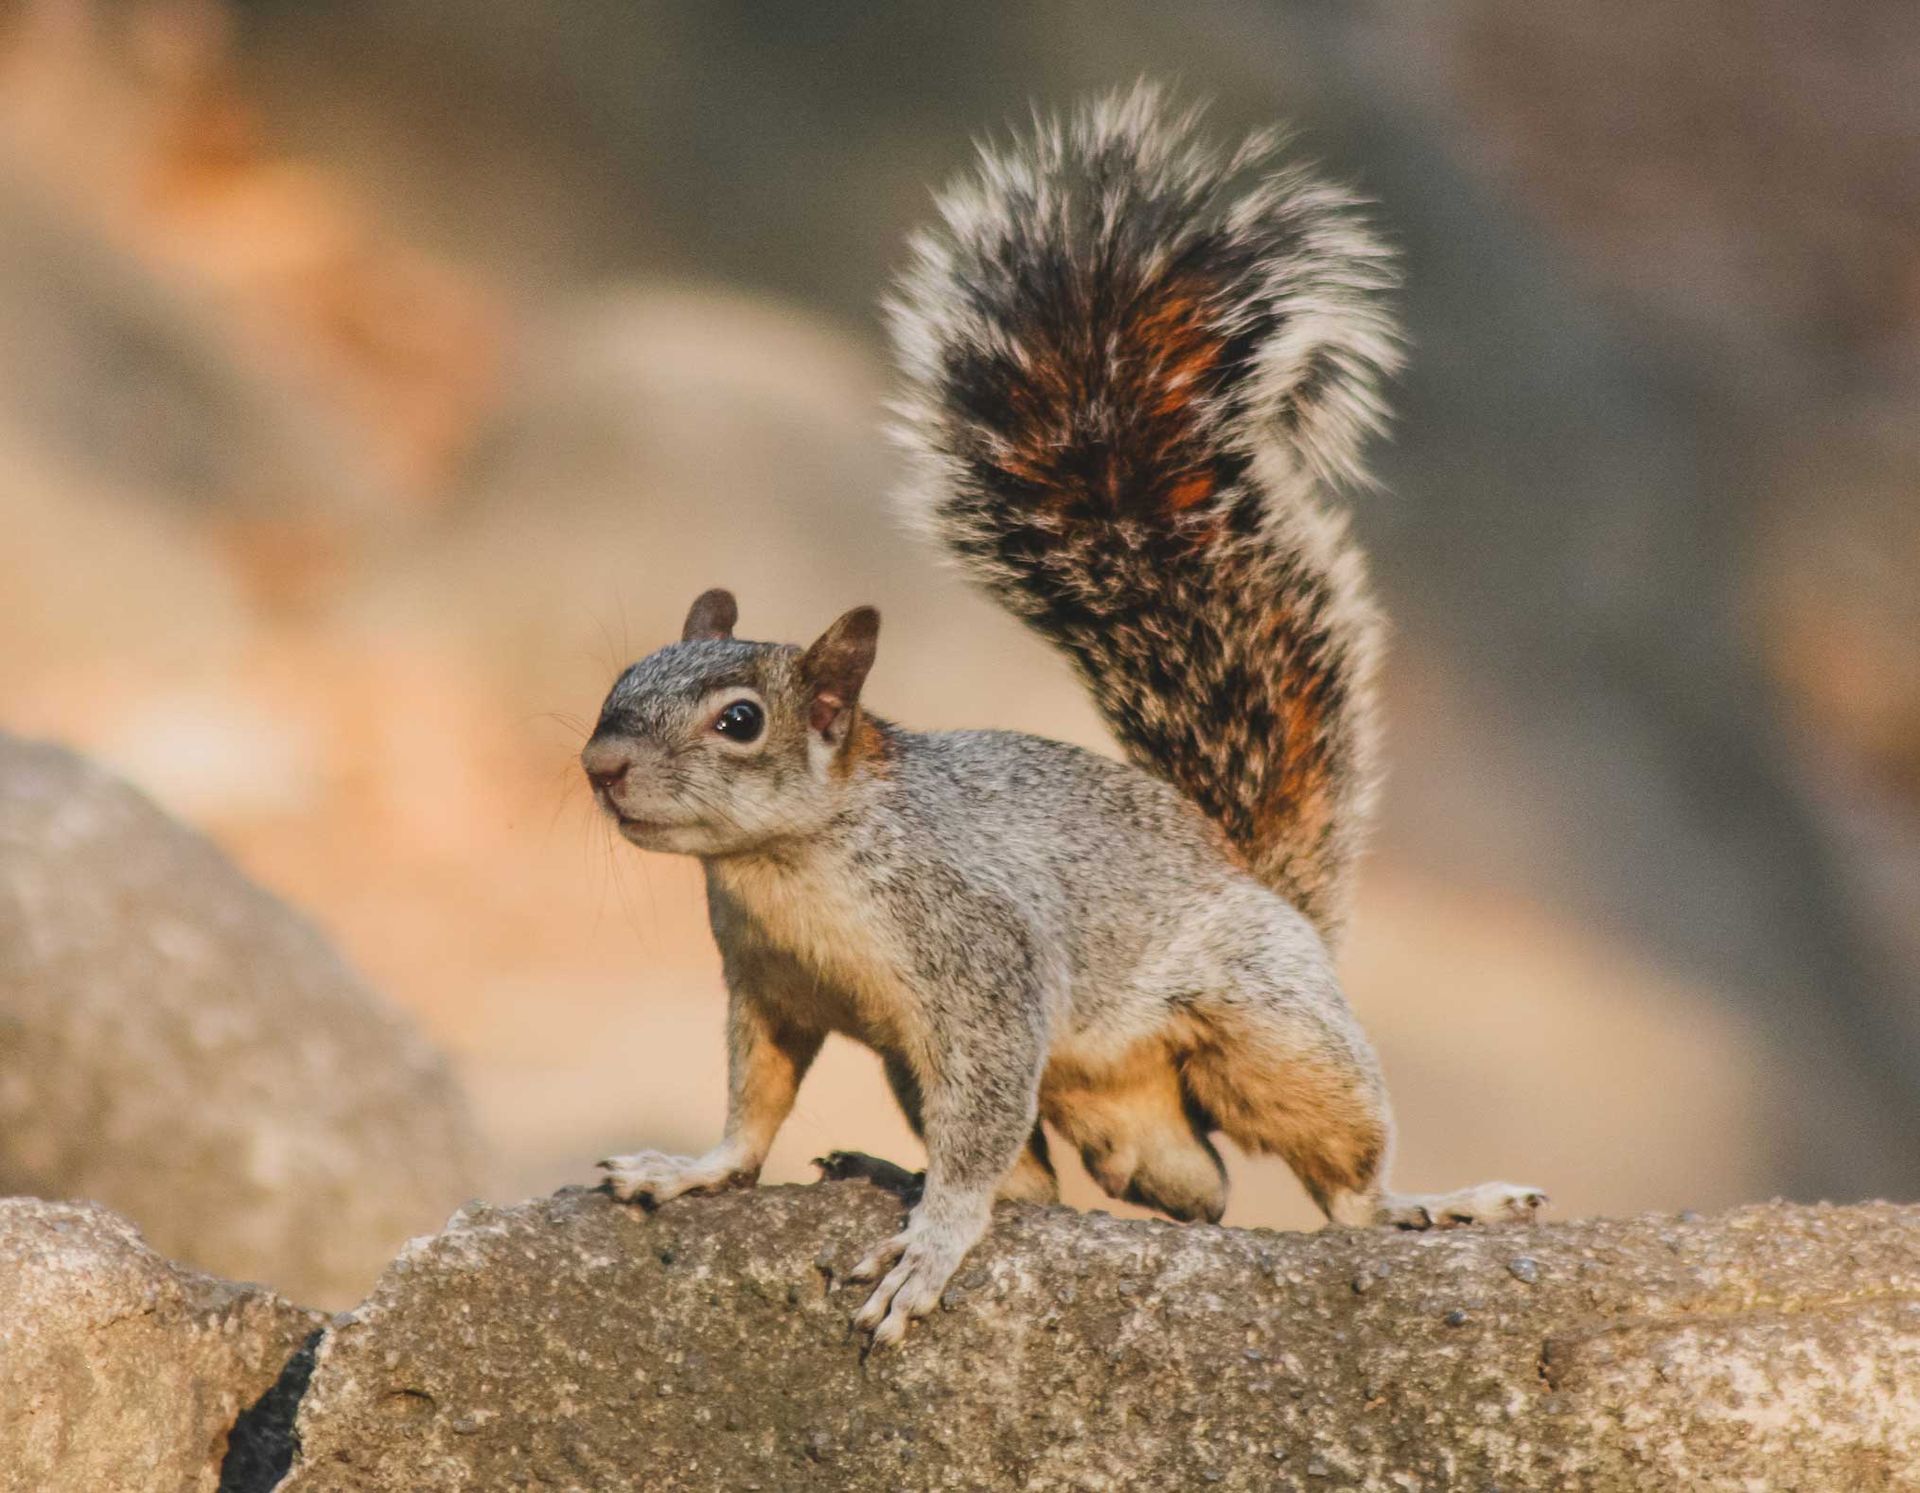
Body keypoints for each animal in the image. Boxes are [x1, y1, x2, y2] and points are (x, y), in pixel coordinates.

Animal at [581, 88, 1544, 1349]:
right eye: (623, 677)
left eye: (739, 719)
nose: (599, 764)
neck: (790, 865)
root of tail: (1259, 880)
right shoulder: (770, 988)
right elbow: (756, 1101)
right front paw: (693, 1168)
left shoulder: (983, 965)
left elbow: (977, 1131)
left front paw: (929, 1248)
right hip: (1012, 1089)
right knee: (1136, 1187)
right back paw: (894, 1165)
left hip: (1267, 1027)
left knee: (1337, 1179)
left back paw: (1435, 1202)